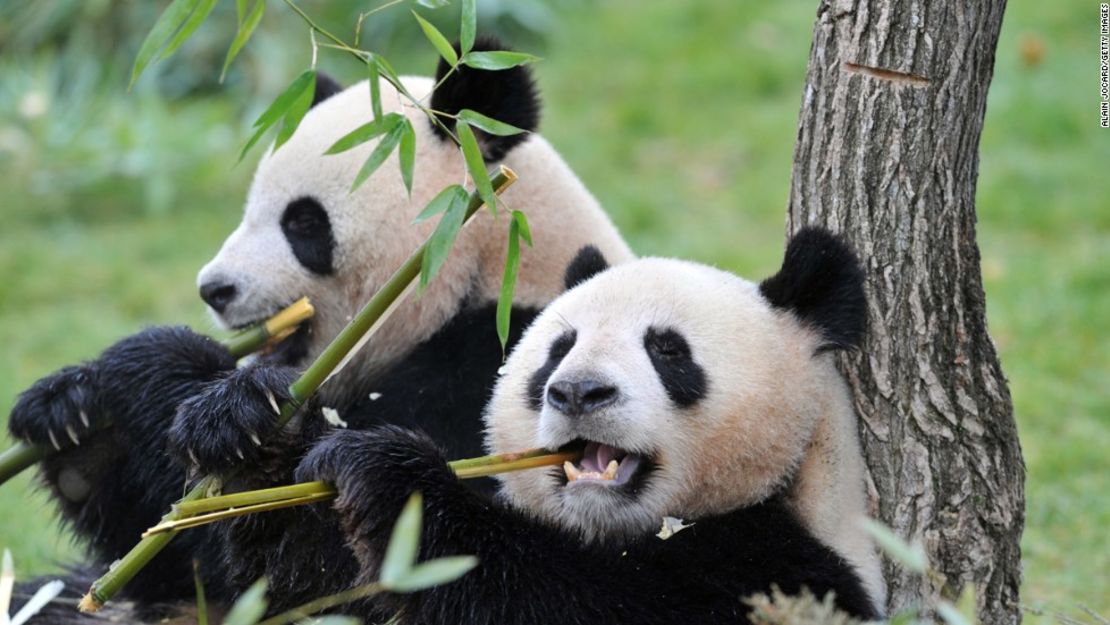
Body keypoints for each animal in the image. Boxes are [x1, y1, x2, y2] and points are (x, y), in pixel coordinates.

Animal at [4, 38, 634, 617]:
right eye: (248, 211)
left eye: (304, 222)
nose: (215, 288)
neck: (488, 268)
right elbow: (184, 570)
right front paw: (69, 409)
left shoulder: (491, 372)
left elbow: (336, 568)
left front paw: (228, 412)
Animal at [290, 227, 879, 621]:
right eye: (559, 349)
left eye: (668, 350)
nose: (578, 392)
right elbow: (326, 592)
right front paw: (275, 428)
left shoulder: (780, 571)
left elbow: (564, 596)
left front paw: (387, 473)